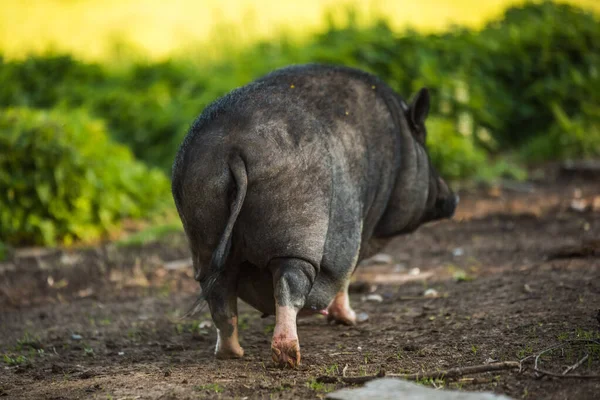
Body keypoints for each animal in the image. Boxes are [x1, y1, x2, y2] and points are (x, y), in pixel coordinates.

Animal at [171, 63, 458, 368]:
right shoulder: (358, 229)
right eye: (424, 141)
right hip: (299, 225)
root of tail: (233, 149)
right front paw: (352, 319)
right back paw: (289, 356)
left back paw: (231, 353)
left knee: (219, 290)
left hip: (202, 216)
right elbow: (346, 274)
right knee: (290, 282)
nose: (453, 198)